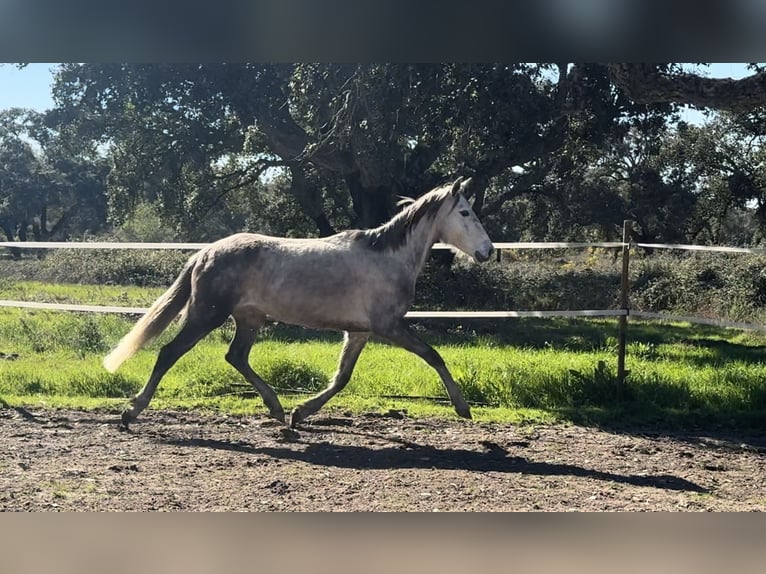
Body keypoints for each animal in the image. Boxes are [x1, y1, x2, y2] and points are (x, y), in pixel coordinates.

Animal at [104, 177, 494, 428]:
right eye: (465, 213)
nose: (488, 251)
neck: (388, 257)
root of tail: (205, 253)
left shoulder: (360, 332)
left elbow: (342, 377)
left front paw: (301, 412)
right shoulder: (389, 326)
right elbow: (434, 356)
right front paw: (463, 407)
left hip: (249, 319)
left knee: (236, 357)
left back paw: (276, 408)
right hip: (206, 315)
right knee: (169, 353)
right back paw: (131, 411)